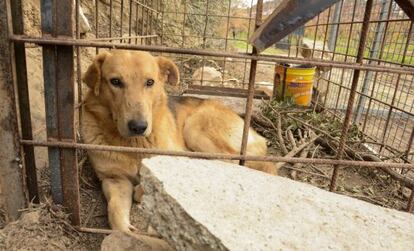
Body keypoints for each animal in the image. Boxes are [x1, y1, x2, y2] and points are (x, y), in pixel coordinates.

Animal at [81, 50, 276, 232]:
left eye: (150, 82)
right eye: (115, 82)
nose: (138, 127)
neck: (133, 145)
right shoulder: (113, 179)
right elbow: (114, 211)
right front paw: (126, 229)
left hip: (195, 127)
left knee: (231, 162)